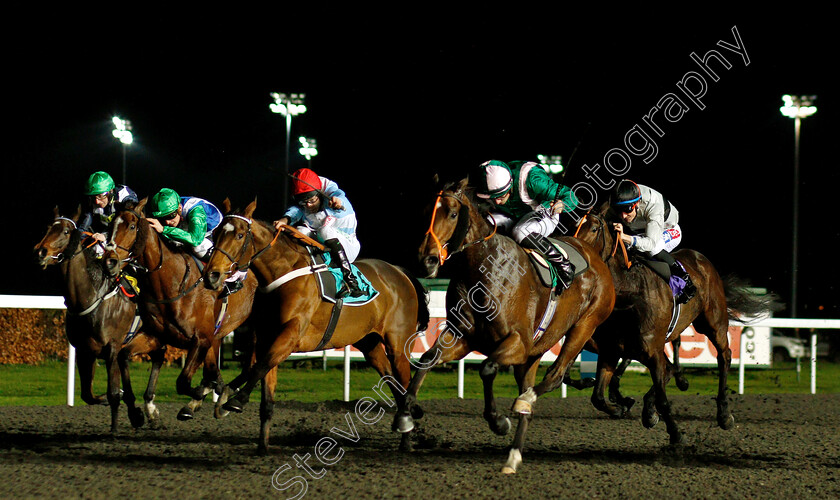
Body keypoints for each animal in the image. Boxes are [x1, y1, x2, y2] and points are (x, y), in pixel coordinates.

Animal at [33, 205, 167, 432]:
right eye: (48, 228)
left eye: (66, 231)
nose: (41, 251)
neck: (91, 295)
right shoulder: (84, 350)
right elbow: (88, 394)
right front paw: (121, 404)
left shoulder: (111, 347)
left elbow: (113, 393)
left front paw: (113, 429)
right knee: (141, 359)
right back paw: (142, 410)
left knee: (159, 356)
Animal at [102, 199, 260, 422]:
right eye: (110, 226)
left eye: (132, 226)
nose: (109, 262)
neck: (172, 283)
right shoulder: (157, 336)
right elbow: (124, 355)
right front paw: (136, 412)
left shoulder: (200, 339)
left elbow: (184, 382)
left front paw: (202, 395)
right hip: (218, 333)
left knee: (251, 364)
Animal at [202, 198, 426, 454]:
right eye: (216, 233)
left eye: (240, 235)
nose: (211, 275)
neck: (283, 273)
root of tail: (400, 272)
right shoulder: (267, 337)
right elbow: (263, 385)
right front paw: (261, 445)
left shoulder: (291, 335)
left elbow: (260, 366)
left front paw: (236, 401)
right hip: (369, 344)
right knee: (392, 381)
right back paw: (409, 418)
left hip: (398, 344)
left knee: (404, 383)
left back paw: (406, 435)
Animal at [394, 178, 616, 474]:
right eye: (425, 210)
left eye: (452, 213)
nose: (425, 260)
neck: (483, 269)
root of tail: (596, 257)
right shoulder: (463, 337)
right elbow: (428, 358)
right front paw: (405, 413)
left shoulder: (517, 342)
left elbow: (487, 369)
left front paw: (498, 421)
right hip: (535, 352)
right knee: (530, 396)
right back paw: (513, 456)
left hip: (584, 326)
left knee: (554, 375)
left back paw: (527, 401)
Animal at [576, 205, 776, 444]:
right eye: (575, 226)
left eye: (594, 228)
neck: (629, 292)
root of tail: (701, 258)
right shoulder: (611, 350)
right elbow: (598, 397)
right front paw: (624, 407)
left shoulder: (650, 350)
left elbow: (663, 397)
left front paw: (676, 434)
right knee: (671, 367)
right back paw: (651, 407)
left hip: (713, 322)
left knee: (724, 356)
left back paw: (724, 414)